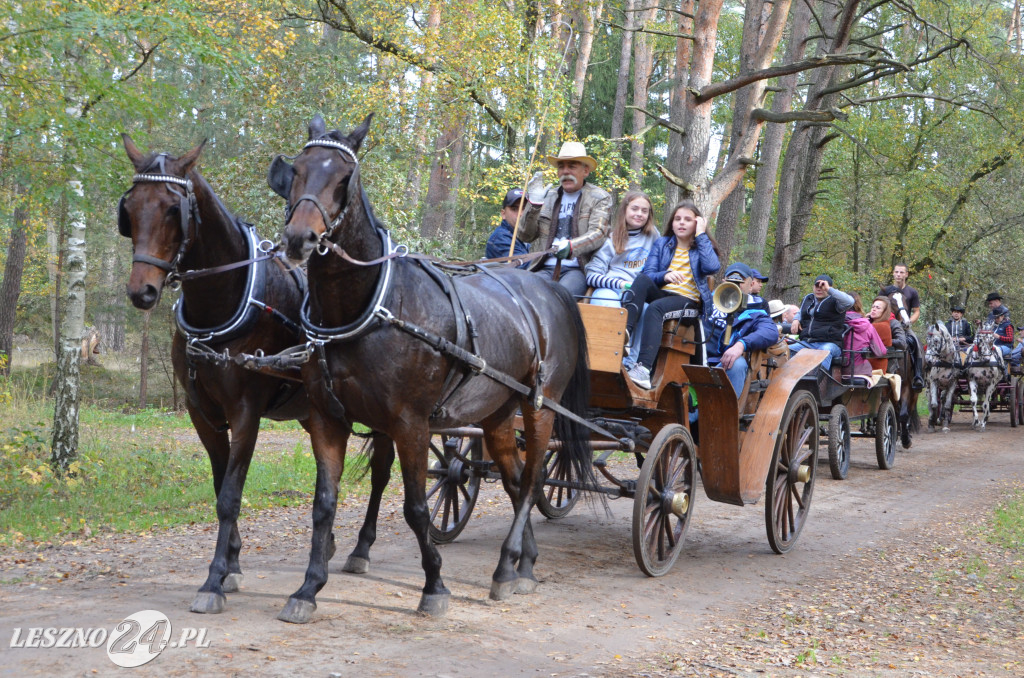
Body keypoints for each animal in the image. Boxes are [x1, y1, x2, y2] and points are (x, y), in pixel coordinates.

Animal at [117, 138, 395, 614]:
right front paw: (232, 564)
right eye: (131, 208)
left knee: (381, 472)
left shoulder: (245, 411)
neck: (222, 306)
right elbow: (219, 486)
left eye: (173, 209)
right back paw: (332, 546)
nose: (142, 291)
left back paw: (361, 549)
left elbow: (231, 495)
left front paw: (213, 580)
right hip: (313, 411)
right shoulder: (202, 413)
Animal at [268, 112, 598, 626]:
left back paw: (506, 566)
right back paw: (522, 565)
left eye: (344, 178)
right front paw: (308, 588)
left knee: (531, 482)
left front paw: (435, 586)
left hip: (540, 407)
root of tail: (551, 287)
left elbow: (417, 508)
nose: (300, 240)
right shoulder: (327, 419)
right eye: (298, 170)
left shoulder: (411, 423)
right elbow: (324, 505)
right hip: (497, 413)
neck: (369, 305)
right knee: (515, 478)